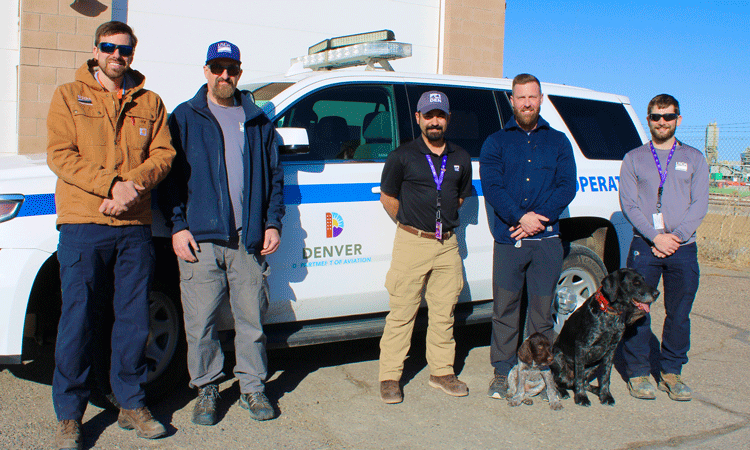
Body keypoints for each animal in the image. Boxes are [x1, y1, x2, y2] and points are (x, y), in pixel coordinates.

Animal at [548, 268, 660, 406]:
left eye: (643, 280)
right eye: (636, 283)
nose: (657, 293)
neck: (610, 312)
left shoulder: (611, 350)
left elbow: (606, 377)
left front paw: (605, 395)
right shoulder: (582, 347)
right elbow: (579, 377)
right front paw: (581, 397)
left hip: (594, 364)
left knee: (584, 382)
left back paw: (596, 389)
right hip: (559, 360)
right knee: (558, 380)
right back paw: (562, 391)